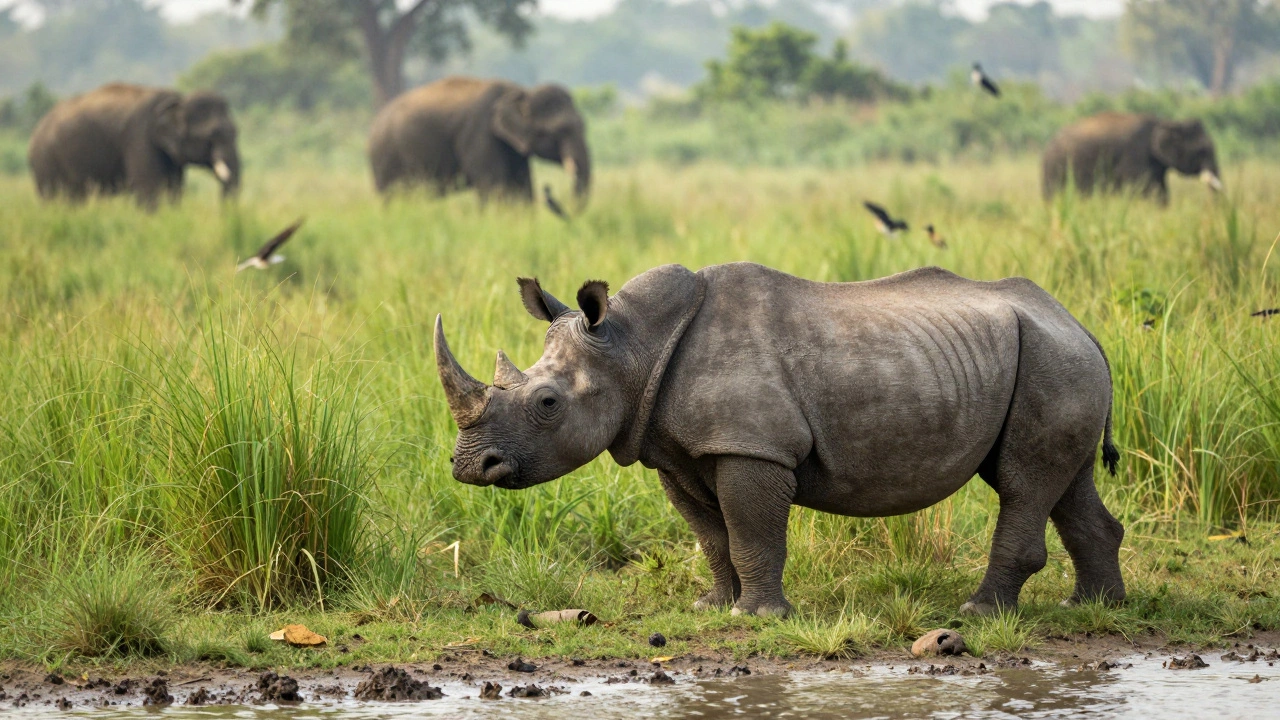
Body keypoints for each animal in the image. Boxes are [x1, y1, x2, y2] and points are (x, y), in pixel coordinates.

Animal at [435, 262, 1125, 617]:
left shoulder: (751, 446)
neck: (632, 346)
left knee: (1022, 483)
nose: (470, 466)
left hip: (1052, 359)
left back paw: (979, 614)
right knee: (1064, 484)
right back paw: (1094, 609)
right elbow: (711, 535)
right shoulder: (677, 450)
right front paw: (712, 607)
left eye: (547, 404)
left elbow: (750, 531)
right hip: (1056, 359)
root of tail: (1081, 324)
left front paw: (759, 616)